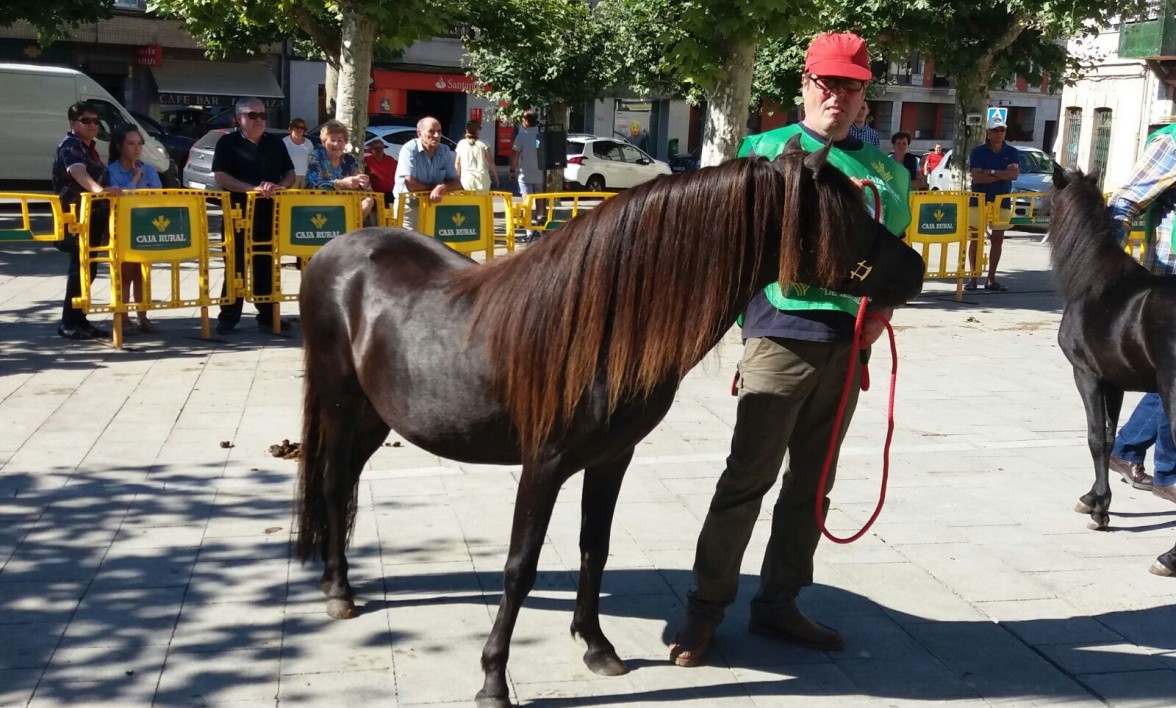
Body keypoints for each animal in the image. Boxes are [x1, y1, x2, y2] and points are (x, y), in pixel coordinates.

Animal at [294, 137, 926, 705]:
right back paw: (338, 592)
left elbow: (593, 548)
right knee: (332, 482)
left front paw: (596, 647)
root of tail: (335, 251)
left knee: (344, 481)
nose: (916, 269)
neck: (595, 326)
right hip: (340, 403)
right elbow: (519, 567)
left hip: (376, 417)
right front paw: (494, 680)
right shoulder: (542, 466)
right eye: (847, 216)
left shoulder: (611, 459)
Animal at [1048, 168, 1176, 576]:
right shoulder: (1114, 383)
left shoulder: (1087, 375)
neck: (1094, 279)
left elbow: (1096, 440)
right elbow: (1108, 434)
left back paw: (1168, 558)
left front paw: (1101, 511)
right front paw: (1093, 498)